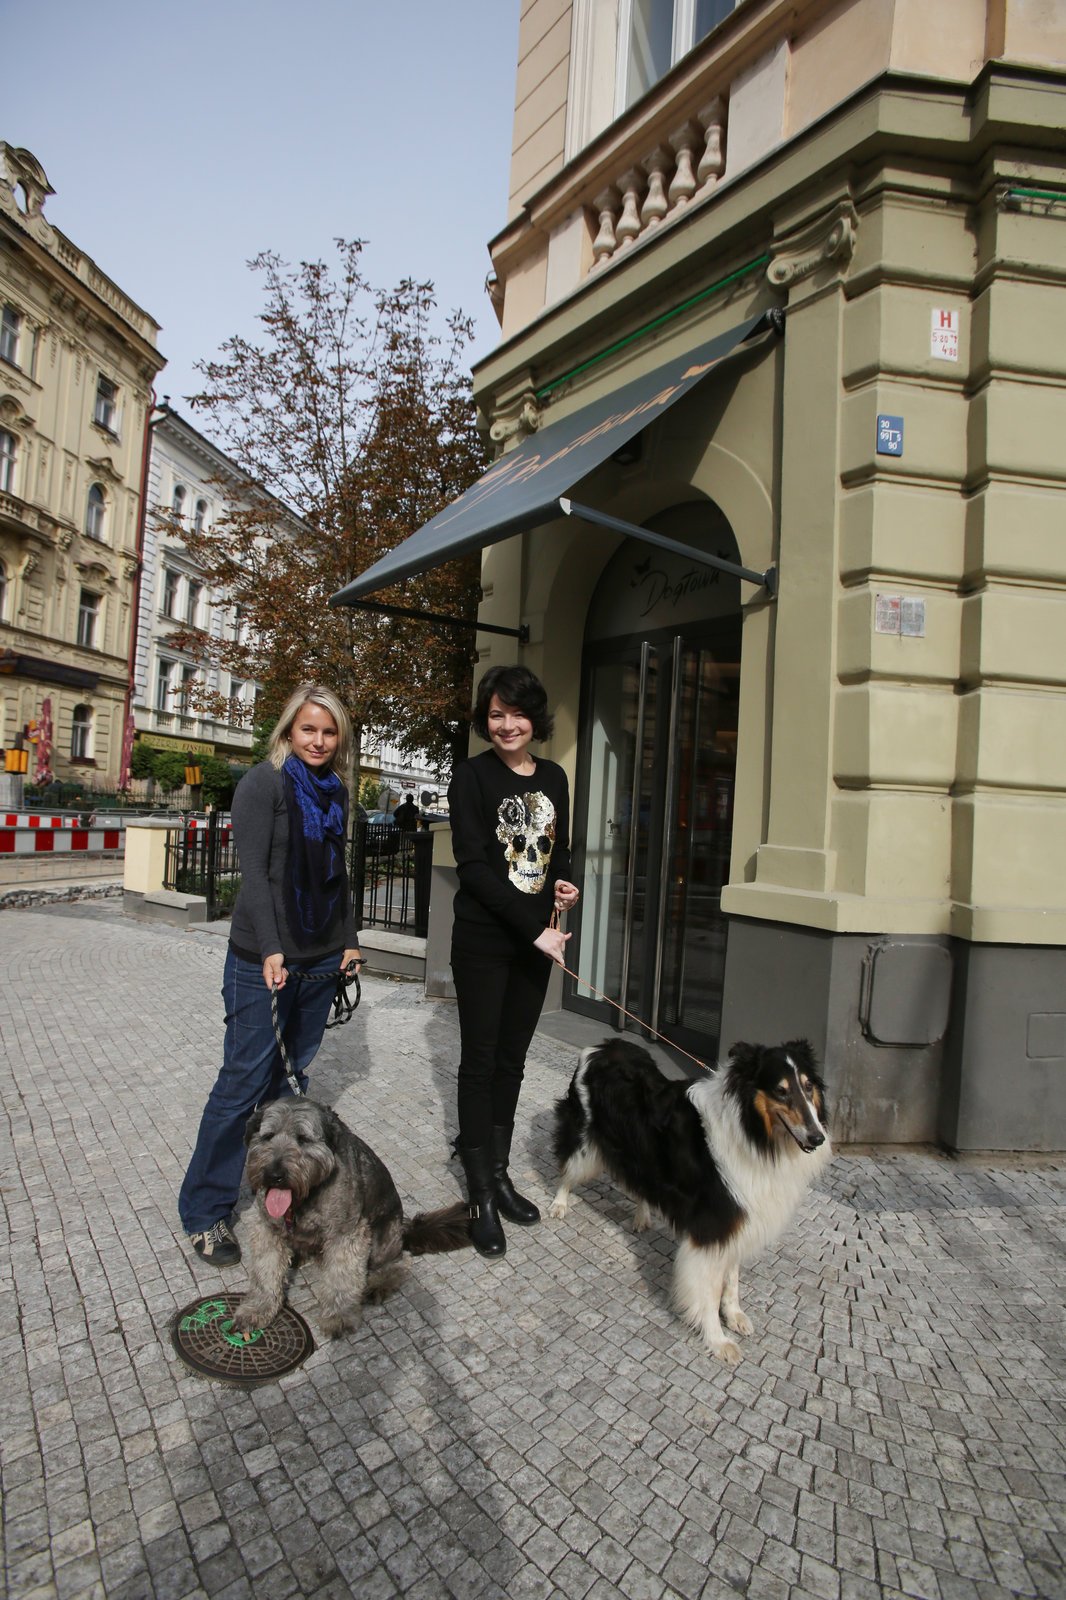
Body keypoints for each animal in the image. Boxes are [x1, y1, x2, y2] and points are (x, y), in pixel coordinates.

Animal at [230, 1100, 467, 1337]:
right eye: (268, 1136)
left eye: (303, 1139)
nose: (274, 1175)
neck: (306, 1196)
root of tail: (404, 1228)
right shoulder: (266, 1229)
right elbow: (264, 1272)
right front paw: (257, 1309)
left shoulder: (346, 1234)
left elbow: (341, 1276)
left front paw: (338, 1315)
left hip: (382, 1238)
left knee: (399, 1261)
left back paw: (380, 1283)